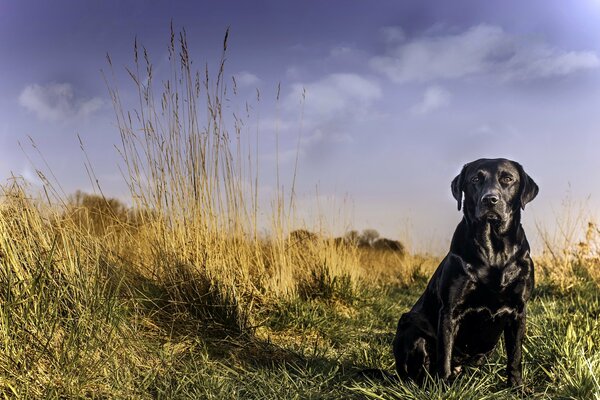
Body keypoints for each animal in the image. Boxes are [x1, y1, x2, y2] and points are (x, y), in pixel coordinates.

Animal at [394, 158, 540, 386]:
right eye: (475, 179)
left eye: (507, 179)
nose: (490, 199)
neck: (494, 251)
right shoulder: (450, 311)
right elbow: (444, 355)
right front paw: (444, 387)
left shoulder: (518, 311)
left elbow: (515, 356)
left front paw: (516, 387)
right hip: (410, 326)